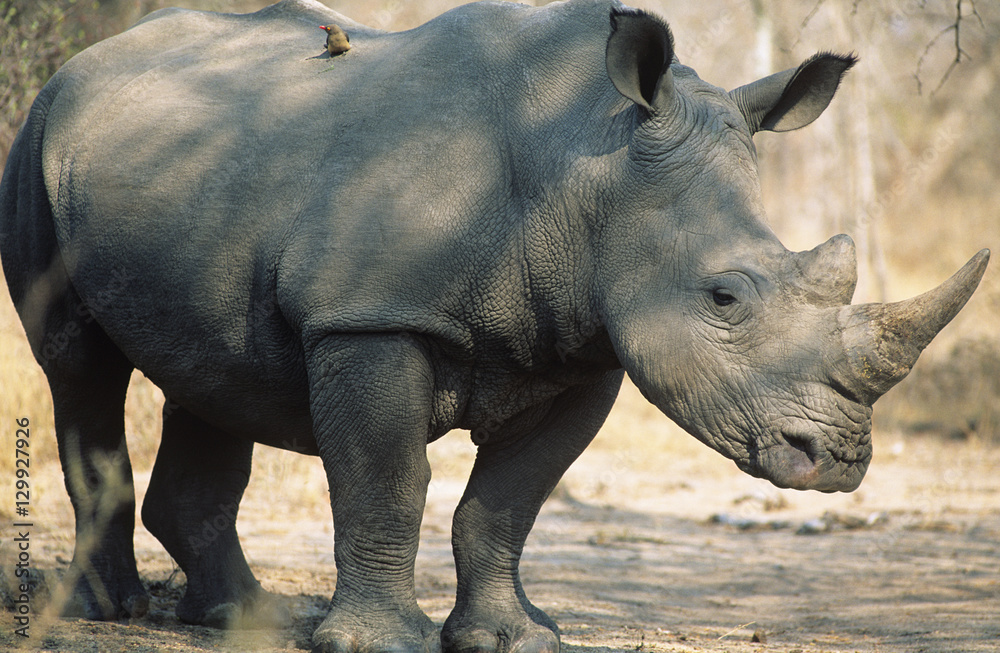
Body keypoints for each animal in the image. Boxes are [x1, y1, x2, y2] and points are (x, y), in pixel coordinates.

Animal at [0, 0, 988, 651]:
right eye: (724, 299)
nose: (840, 460)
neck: (589, 157)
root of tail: (85, 62)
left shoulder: (586, 345)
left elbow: (510, 498)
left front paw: (515, 635)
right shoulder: (371, 316)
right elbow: (388, 478)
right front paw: (378, 642)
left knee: (211, 372)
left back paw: (252, 621)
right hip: (38, 136)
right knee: (79, 364)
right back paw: (104, 612)